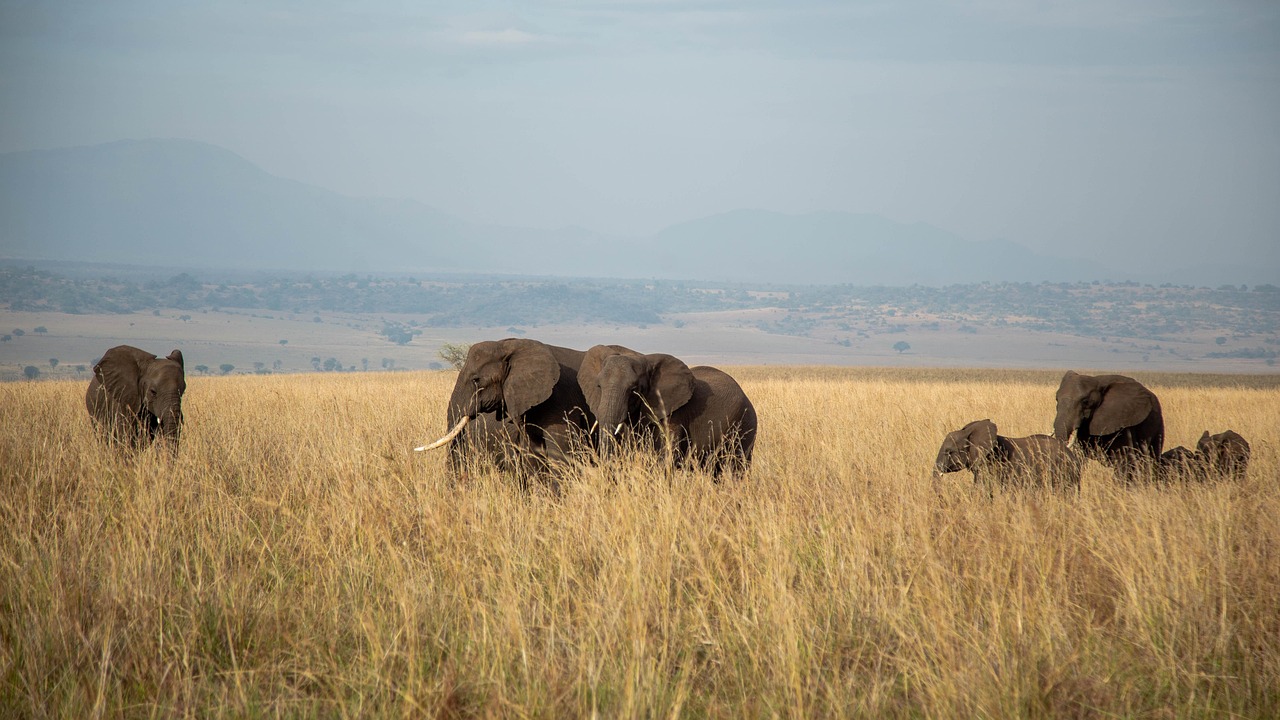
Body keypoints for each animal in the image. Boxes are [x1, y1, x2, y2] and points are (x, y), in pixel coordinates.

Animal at [577, 344, 757, 477]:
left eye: (634, 390)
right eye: (598, 386)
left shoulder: (674, 415)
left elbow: (667, 458)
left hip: (744, 425)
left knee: (735, 469)